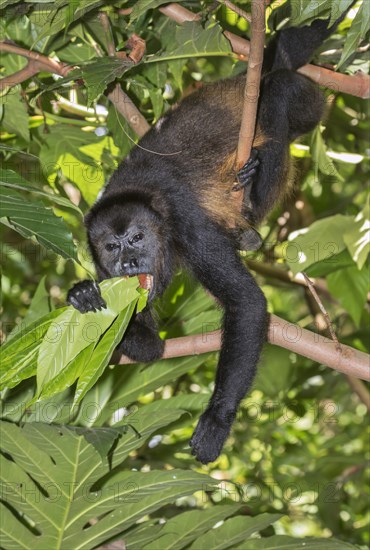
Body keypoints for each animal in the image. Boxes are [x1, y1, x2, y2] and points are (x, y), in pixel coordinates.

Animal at [68, 12, 350, 464]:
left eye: (137, 238)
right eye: (111, 248)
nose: (129, 262)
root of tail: (240, 81)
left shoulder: (190, 227)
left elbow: (247, 303)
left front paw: (217, 419)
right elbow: (151, 348)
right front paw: (81, 295)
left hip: (309, 100)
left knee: (279, 91)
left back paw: (250, 200)